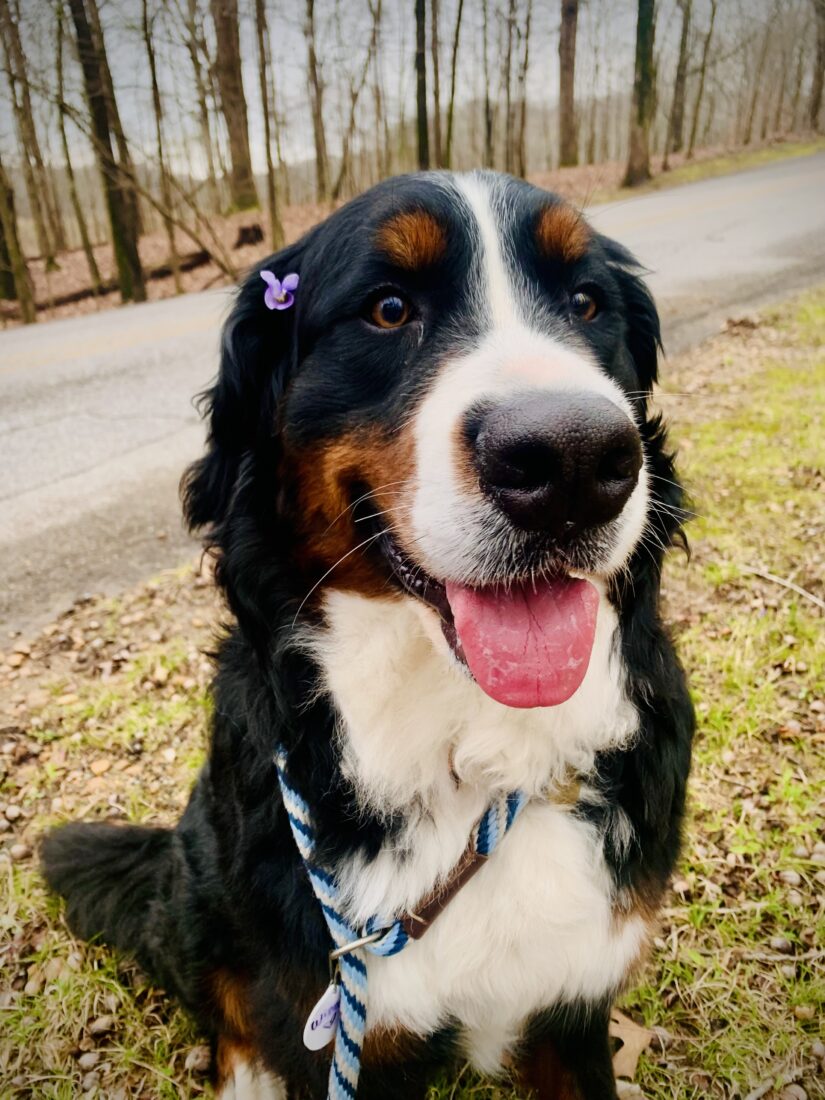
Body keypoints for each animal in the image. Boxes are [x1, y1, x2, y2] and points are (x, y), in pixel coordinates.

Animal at [42, 171, 695, 1100]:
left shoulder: (574, 1000)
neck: (471, 754)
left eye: (585, 302)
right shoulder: (330, 1011)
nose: (572, 459)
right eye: (388, 309)